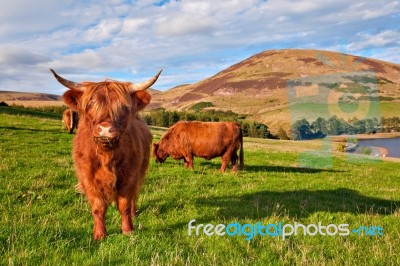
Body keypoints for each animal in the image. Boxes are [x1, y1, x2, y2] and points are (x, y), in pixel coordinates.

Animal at [50, 67, 162, 240]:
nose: (105, 129)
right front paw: (100, 234)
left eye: (124, 107)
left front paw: (128, 230)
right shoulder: (88, 178)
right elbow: (98, 207)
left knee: (134, 196)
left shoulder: (130, 176)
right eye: (90, 104)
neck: (106, 155)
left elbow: (124, 205)